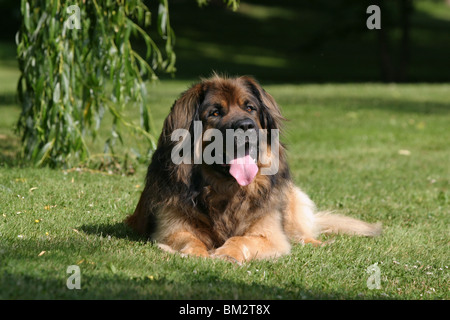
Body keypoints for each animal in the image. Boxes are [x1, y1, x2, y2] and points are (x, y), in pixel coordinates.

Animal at [125, 75, 382, 262]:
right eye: (215, 112)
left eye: (250, 108)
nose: (246, 126)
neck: (225, 191)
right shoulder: (171, 227)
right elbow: (189, 239)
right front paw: (198, 254)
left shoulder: (268, 233)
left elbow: (243, 240)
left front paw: (226, 253)